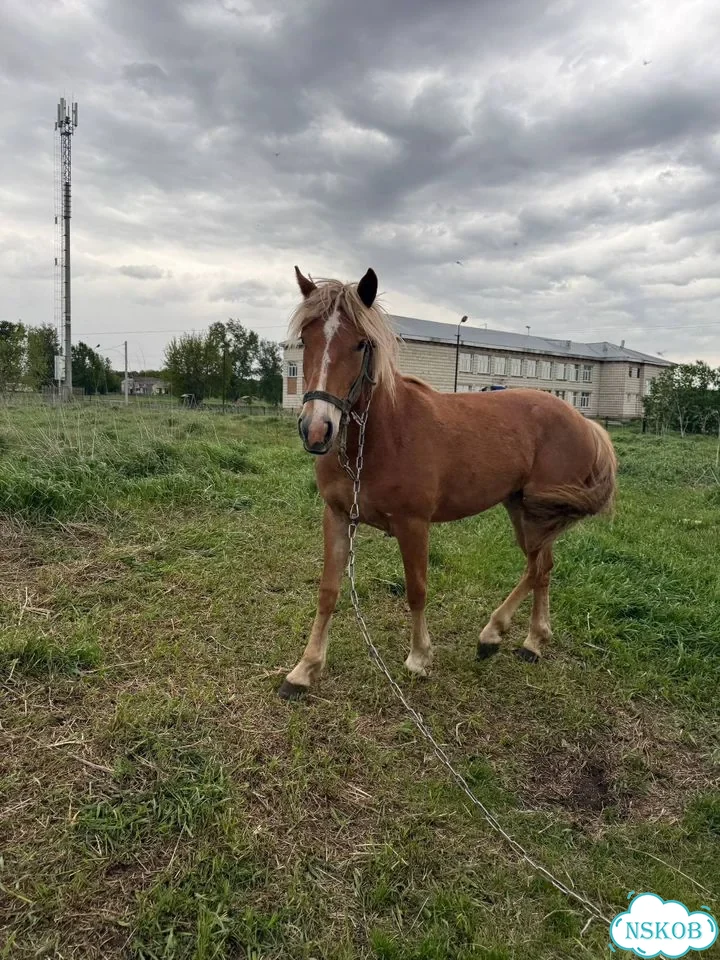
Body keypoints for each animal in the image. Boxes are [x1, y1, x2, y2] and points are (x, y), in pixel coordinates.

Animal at [279, 267, 617, 700]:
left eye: (361, 344)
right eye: (306, 339)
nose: (317, 429)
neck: (381, 436)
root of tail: (585, 422)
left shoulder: (413, 525)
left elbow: (417, 589)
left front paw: (419, 658)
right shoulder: (337, 516)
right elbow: (328, 592)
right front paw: (304, 670)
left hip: (539, 514)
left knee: (538, 568)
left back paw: (505, 637)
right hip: (522, 509)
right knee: (540, 567)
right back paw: (520, 639)